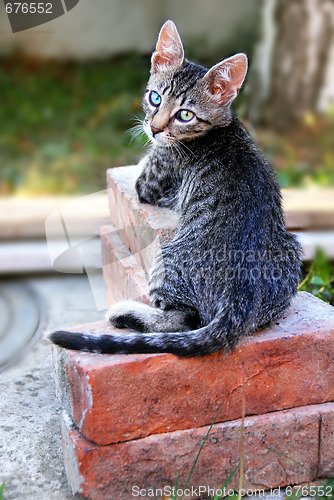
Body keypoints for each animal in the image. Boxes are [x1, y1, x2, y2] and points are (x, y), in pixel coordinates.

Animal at [50, 19, 302, 356]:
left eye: (185, 114)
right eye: (155, 98)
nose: (154, 128)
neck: (221, 127)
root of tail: (240, 299)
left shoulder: (151, 182)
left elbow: (139, 172)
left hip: (167, 258)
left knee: (182, 319)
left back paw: (127, 312)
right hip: (292, 250)